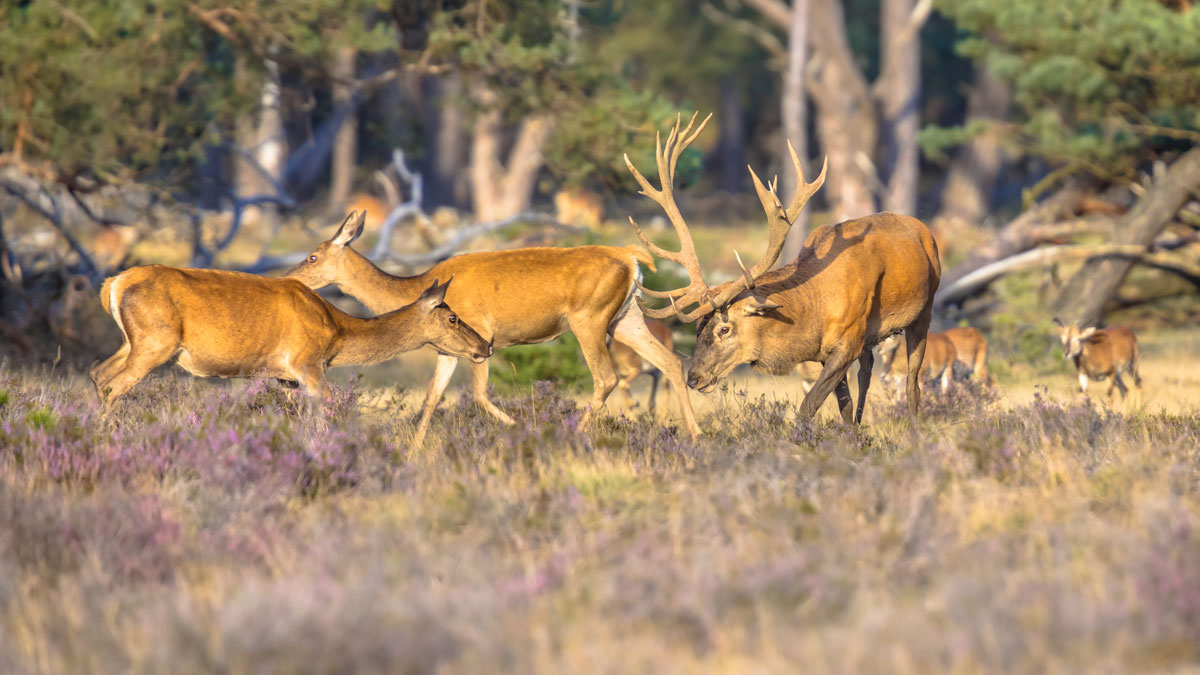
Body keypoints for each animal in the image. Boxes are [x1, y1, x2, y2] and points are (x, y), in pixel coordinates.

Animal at [89, 262, 491, 411]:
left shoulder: (286, 377)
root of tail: (113, 283)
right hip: (156, 342)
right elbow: (332, 406)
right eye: (453, 317)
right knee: (115, 384)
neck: (338, 332)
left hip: (133, 340)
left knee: (98, 373)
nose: (485, 347)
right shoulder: (307, 362)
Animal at [286, 212, 701, 447]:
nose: (289, 278)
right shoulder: (446, 349)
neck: (415, 288)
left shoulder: (482, 336)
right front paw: (413, 453)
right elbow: (432, 397)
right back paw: (695, 435)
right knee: (670, 362)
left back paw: (574, 435)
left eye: (312, 256)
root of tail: (631, 258)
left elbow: (479, 395)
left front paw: (527, 432)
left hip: (590, 317)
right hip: (626, 316)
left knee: (606, 378)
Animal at [627, 113, 941, 424]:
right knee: (868, 370)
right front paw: (851, 433)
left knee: (913, 383)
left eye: (724, 329)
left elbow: (807, 407)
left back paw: (914, 428)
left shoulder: (849, 340)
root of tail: (924, 230)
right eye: (697, 329)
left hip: (923, 311)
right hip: (873, 338)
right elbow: (845, 405)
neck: (813, 313)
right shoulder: (828, 351)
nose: (694, 378)